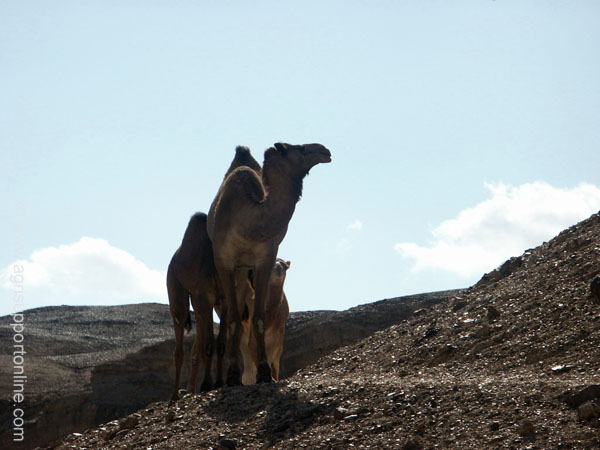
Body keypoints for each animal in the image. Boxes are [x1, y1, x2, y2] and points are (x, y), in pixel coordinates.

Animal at [205, 142, 328, 384]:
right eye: (296, 148)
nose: (324, 151)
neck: (247, 224)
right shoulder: (223, 261)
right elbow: (233, 320)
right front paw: (232, 376)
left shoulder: (265, 258)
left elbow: (259, 318)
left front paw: (264, 374)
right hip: (237, 270)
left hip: (246, 268)